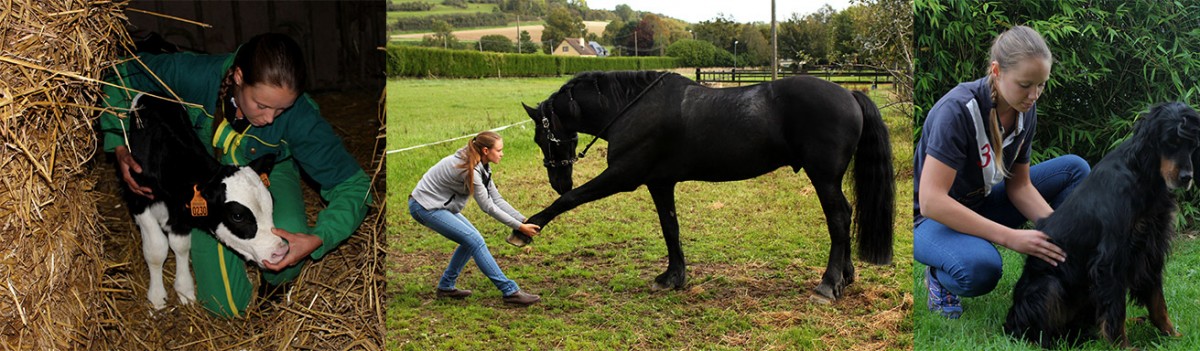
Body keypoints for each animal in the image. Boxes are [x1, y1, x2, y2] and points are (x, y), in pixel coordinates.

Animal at [118, 93, 288, 310]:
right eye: (237, 215)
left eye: (271, 202)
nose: (281, 251)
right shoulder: (139, 201)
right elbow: (156, 249)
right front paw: (156, 297)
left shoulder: (182, 213)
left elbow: (180, 246)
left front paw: (185, 290)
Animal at [516, 70, 892, 299]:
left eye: (541, 137)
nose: (558, 180)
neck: (633, 108)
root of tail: (849, 93)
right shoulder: (660, 183)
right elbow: (670, 228)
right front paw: (672, 277)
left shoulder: (623, 176)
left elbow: (571, 201)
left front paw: (526, 229)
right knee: (844, 216)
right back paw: (845, 277)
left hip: (824, 177)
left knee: (839, 218)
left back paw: (828, 284)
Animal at [1003, 101, 1200, 348]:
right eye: (1170, 141)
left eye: (1192, 145)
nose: (1187, 177)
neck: (1141, 175)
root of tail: (1009, 323)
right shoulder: (1112, 256)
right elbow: (1116, 309)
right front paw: (1123, 346)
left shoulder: (1151, 247)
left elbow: (1157, 301)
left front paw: (1173, 335)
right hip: (1049, 285)